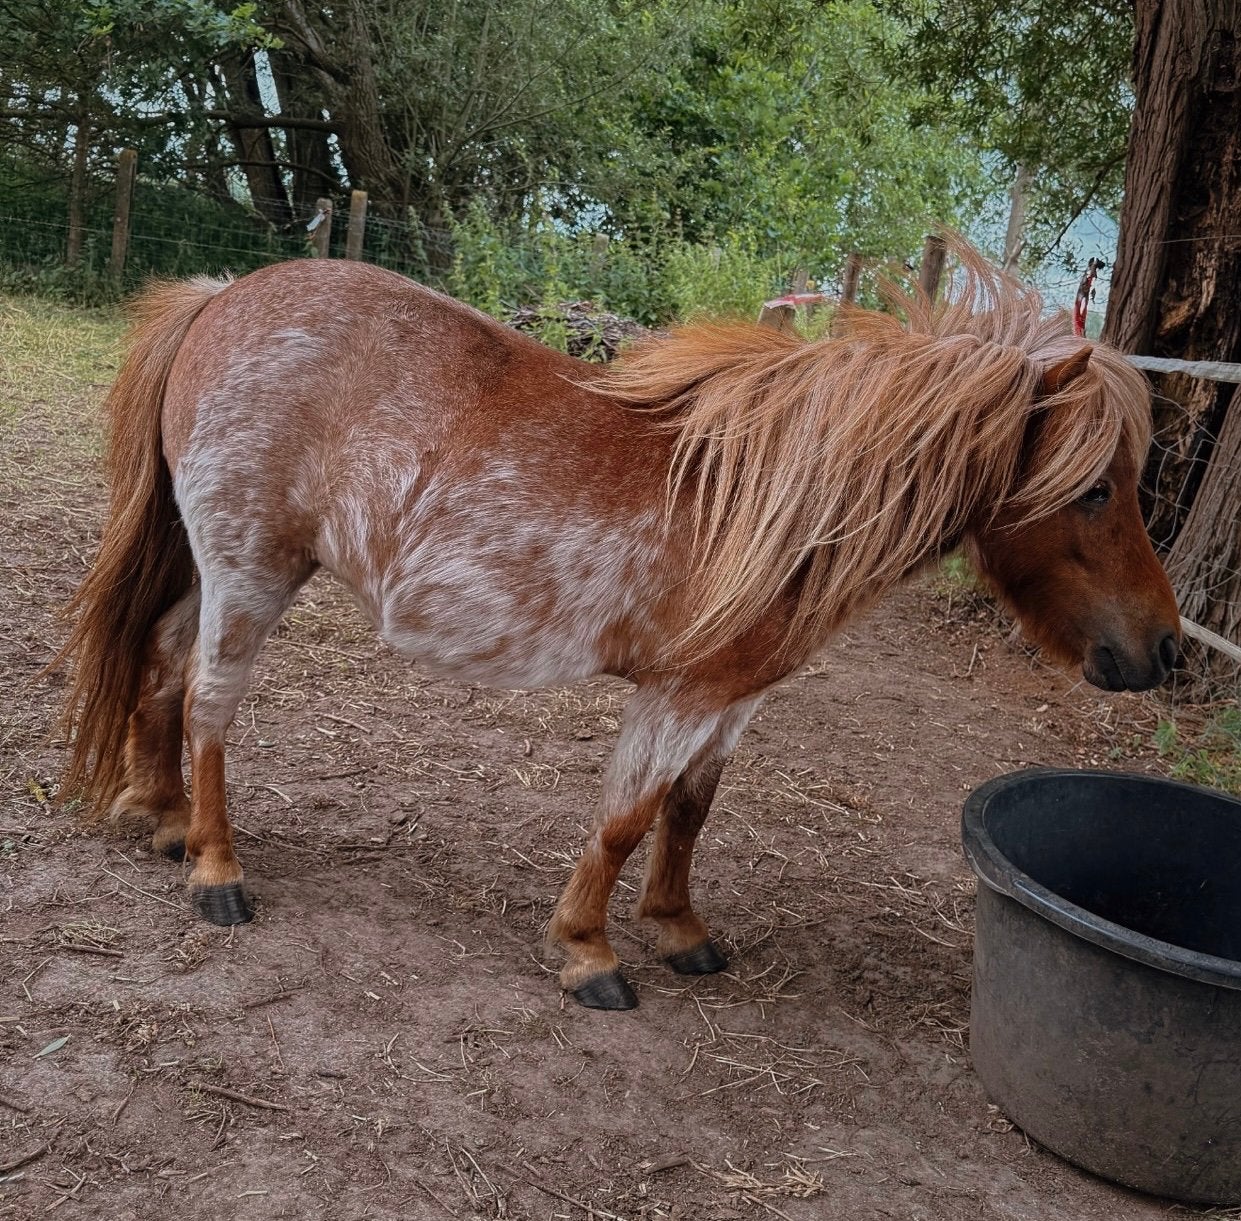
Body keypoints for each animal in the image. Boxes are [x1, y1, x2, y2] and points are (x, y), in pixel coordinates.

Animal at [51, 244, 1181, 1010]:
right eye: (1094, 489)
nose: (1162, 648)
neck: (765, 498)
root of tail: (223, 296)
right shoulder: (678, 696)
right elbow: (626, 818)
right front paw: (588, 950)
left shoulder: (730, 700)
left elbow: (688, 812)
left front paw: (677, 929)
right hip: (251, 575)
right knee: (209, 702)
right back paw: (216, 868)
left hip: (218, 570)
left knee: (161, 670)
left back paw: (164, 821)